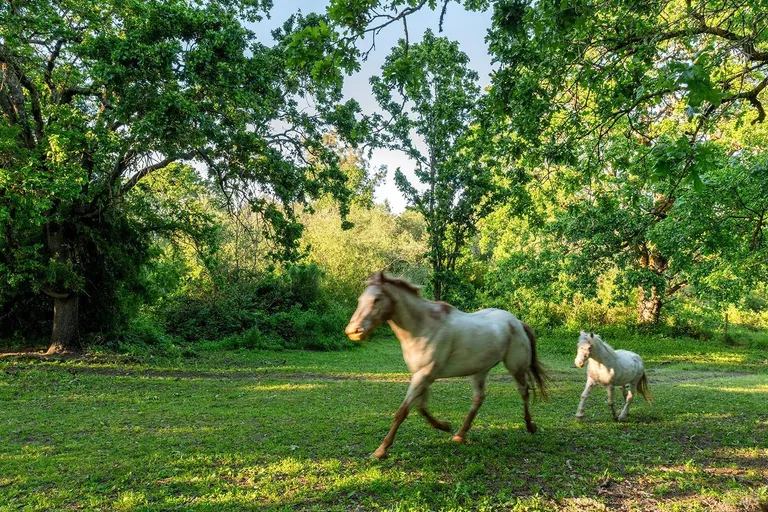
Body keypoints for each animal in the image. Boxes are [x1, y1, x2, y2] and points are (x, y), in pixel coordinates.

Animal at [344, 272, 548, 460]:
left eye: (376, 299)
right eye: (360, 299)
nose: (353, 331)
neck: (423, 327)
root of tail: (517, 322)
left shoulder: (424, 375)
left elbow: (402, 412)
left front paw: (381, 450)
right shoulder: (422, 375)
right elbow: (421, 407)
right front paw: (443, 426)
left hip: (516, 367)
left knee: (524, 392)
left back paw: (530, 426)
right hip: (479, 370)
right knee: (479, 398)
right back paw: (460, 435)